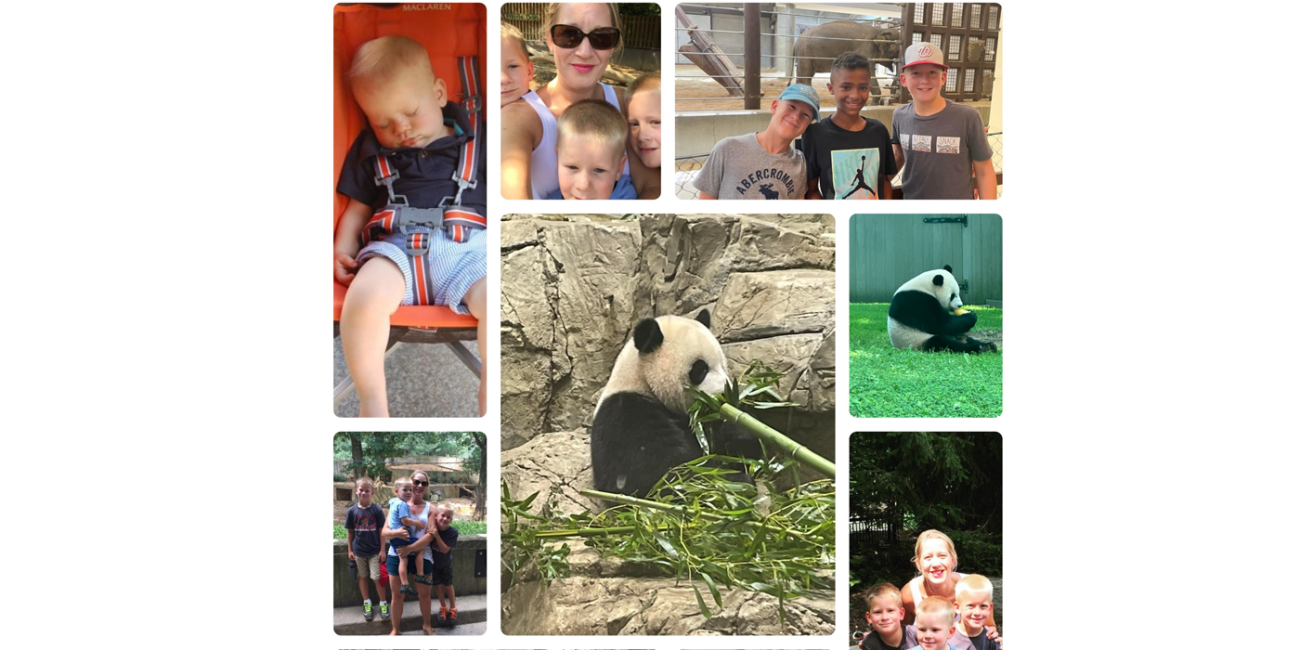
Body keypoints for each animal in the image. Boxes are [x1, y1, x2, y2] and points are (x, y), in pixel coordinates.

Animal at [595, 309, 764, 496]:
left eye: (722, 365)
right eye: (700, 369)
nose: (723, 395)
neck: (642, 381)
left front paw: (738, 429)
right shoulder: (627, 415)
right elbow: (660, 476)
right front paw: (738, 483)